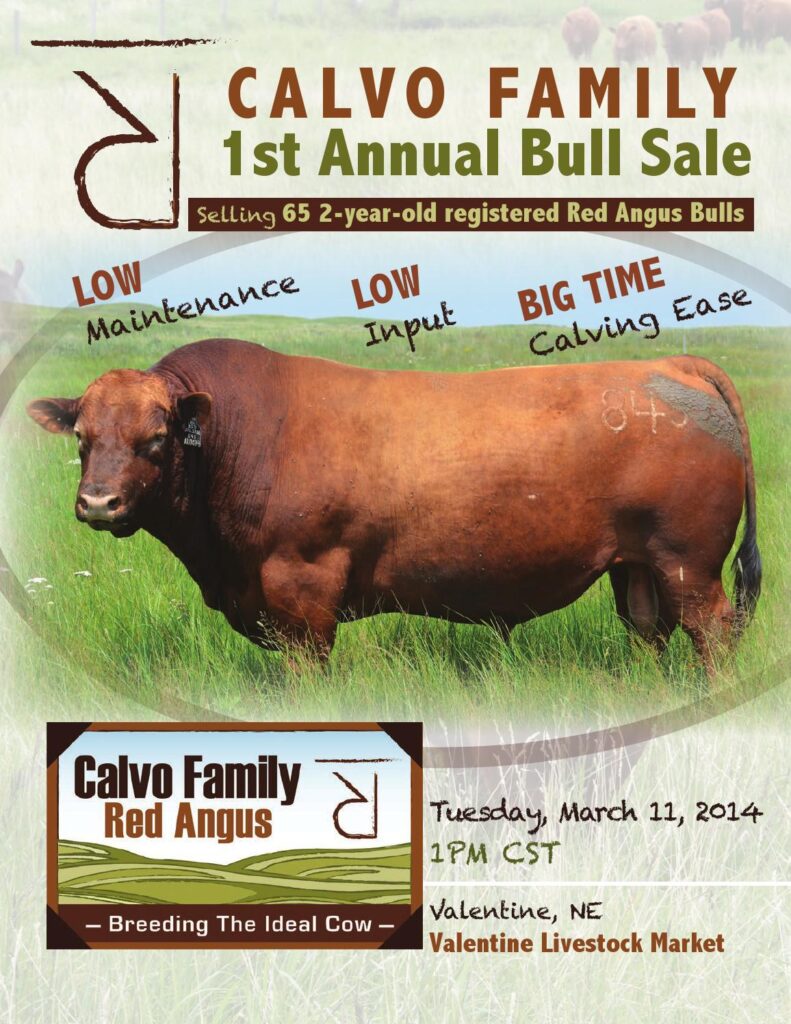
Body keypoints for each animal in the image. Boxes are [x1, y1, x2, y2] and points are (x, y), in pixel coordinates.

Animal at [26, 340, 761, 673]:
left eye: (155, 440)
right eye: (82, 437)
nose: (97, 502)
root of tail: (672, 363)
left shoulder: (301, 590)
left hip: (687, 562)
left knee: (712, 631)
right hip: (636, 564)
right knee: (647, 629)